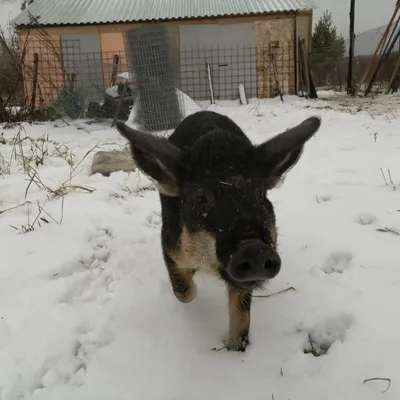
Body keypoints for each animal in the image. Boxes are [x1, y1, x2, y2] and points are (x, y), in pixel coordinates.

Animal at [115, 111, 322, 352]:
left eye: (260, 193)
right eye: (201, 197)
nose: (254, 248)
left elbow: (241, 318)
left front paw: (235, 350)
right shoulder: (169, 245)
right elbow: (184, 292)